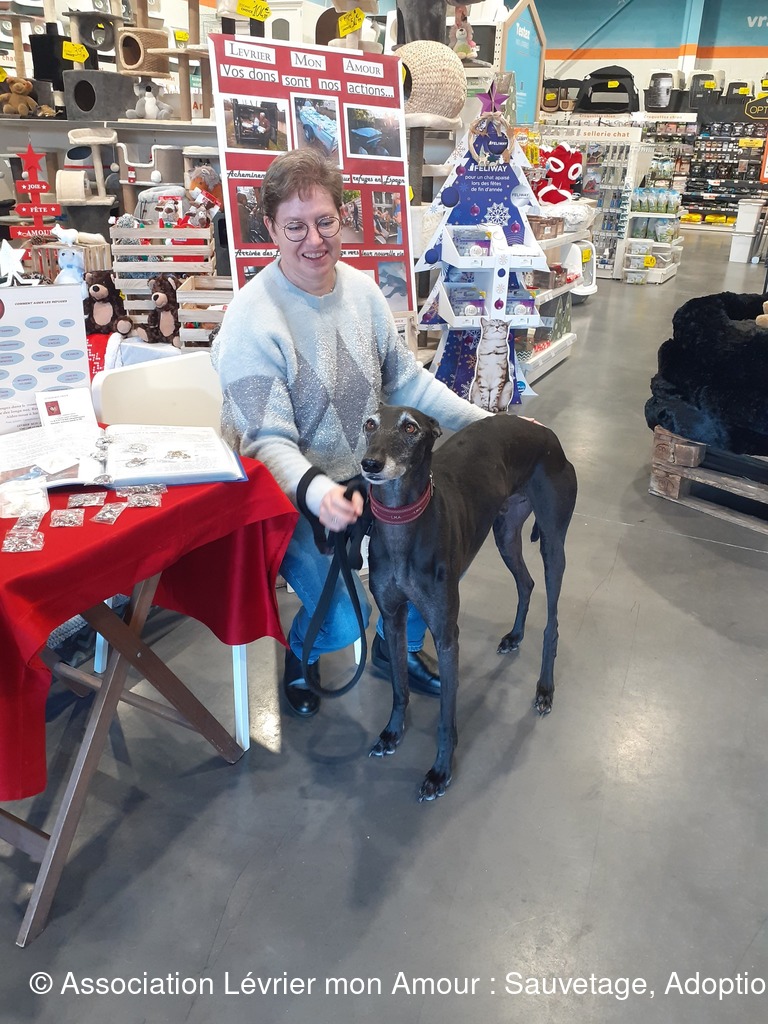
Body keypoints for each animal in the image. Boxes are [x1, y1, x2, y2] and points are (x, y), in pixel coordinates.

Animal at [360, 405, 577, 802]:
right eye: (369, 424)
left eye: (411, 428)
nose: (370, 463)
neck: (404, 527)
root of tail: (548, 436)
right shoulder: (393, 617)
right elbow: (399, 688)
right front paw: (391, 734)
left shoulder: (447, 635)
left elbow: (446, 716)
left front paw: (440, 772)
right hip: (505, 531)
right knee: (526, 583)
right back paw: (514, 636)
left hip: (553, 543)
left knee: (552, 621)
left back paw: (544, 689)